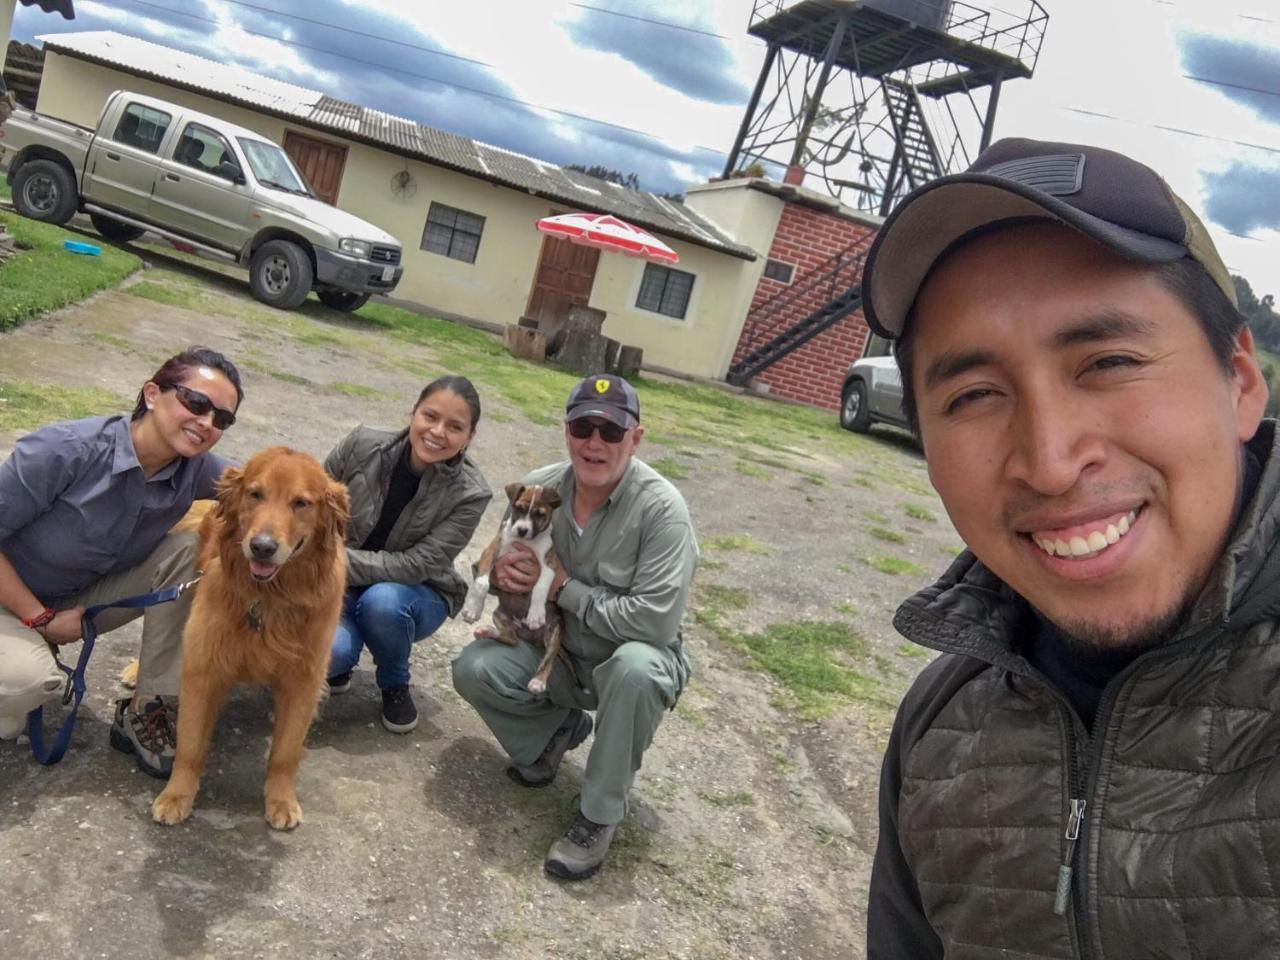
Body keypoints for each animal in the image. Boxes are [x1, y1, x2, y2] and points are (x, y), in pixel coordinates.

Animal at [463, 483, 573, 696]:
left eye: (540, 514)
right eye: (518, 508)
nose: (522, 530)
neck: (524, 542)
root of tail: (529, 637)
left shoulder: (549, 567)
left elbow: (539, 587)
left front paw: (535, 615)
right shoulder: (491, 552)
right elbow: (482, 583)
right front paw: (472, 609)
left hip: (554, 631)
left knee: (549, 658)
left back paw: (538, 681)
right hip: (500, 614)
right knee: (512, 638)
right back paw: (488, 632)